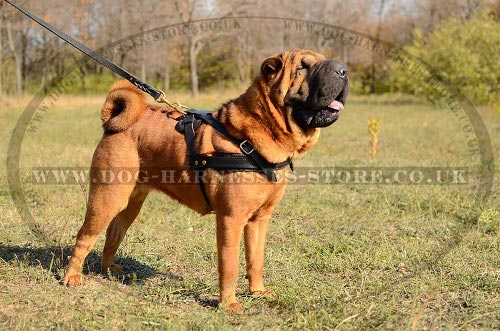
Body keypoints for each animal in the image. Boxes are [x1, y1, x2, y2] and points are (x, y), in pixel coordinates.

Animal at [63, 49, 348, 314]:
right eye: (302, 67)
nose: (343, 70)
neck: (259, 132)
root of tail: (113, 121)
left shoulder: (260, 218)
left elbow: (256, 259)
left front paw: (257, 292)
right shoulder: (231, 218)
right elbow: (230, 265)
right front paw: (228, 304)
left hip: (130, 203)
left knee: (114, 232)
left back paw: (109, 268)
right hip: (106, 198)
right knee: (84, 235)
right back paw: (72, 277)